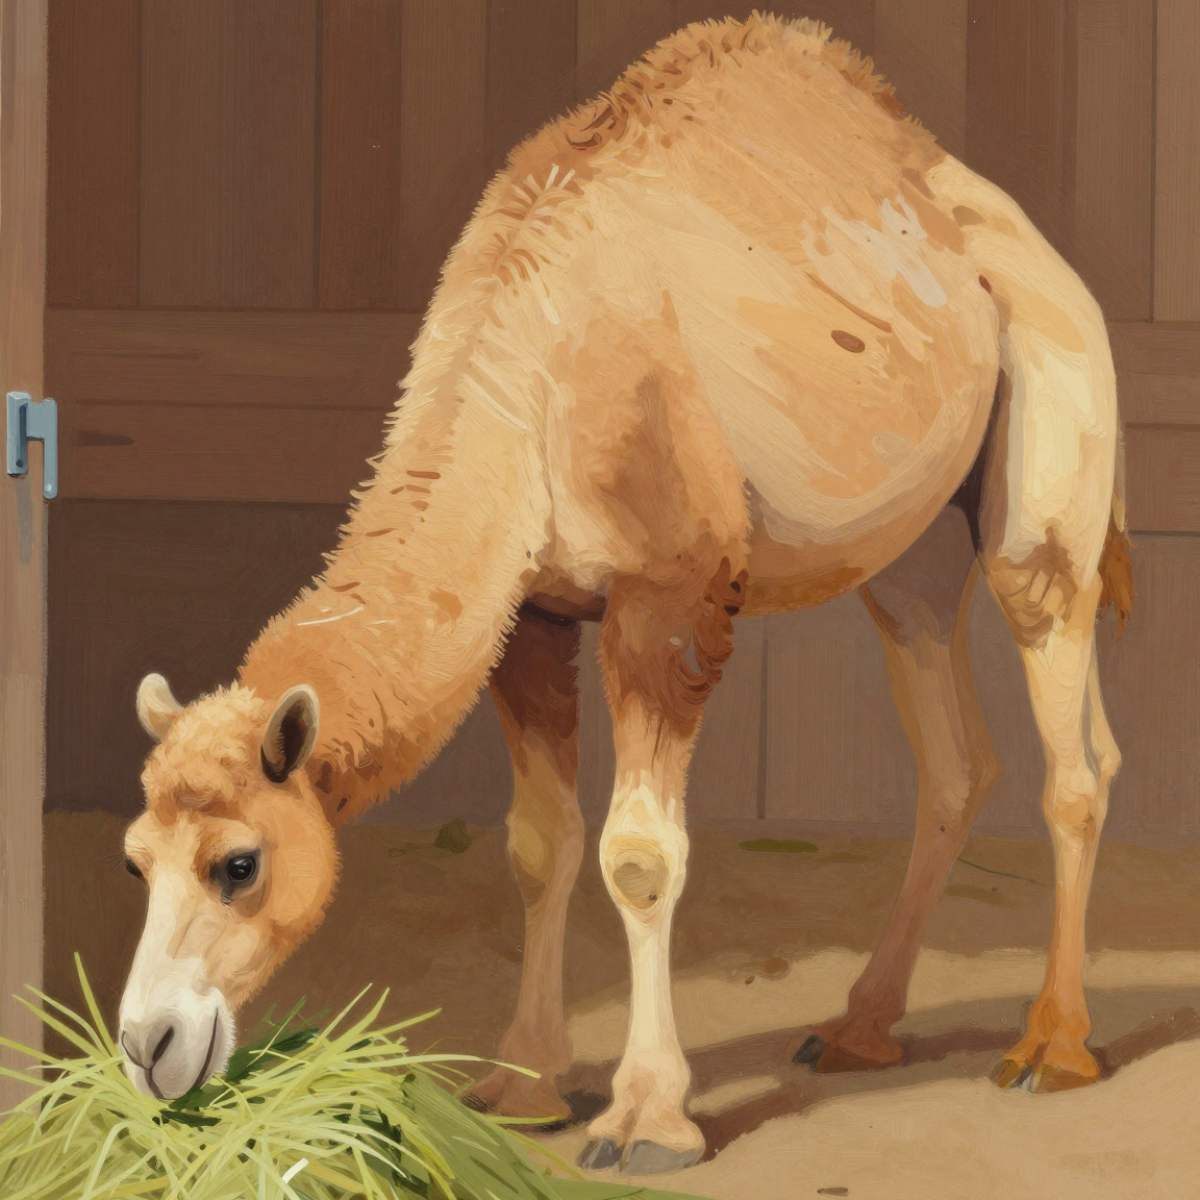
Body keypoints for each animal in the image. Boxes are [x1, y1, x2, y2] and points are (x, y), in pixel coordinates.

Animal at [119, 13, 1131, 1175]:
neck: (520, 374)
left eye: (238, 863)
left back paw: (1053, 1047)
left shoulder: (670, 598)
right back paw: (860, 1028)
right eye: (134, 862)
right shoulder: (531, 614)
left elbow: (639, 856)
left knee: (1067, 728)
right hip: (908, 552)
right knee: (956, 753)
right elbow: (539, 844)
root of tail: (1038, 253)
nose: (146, 1046)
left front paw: (648, 1120)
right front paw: (522, 1088)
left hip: (1051, 442)